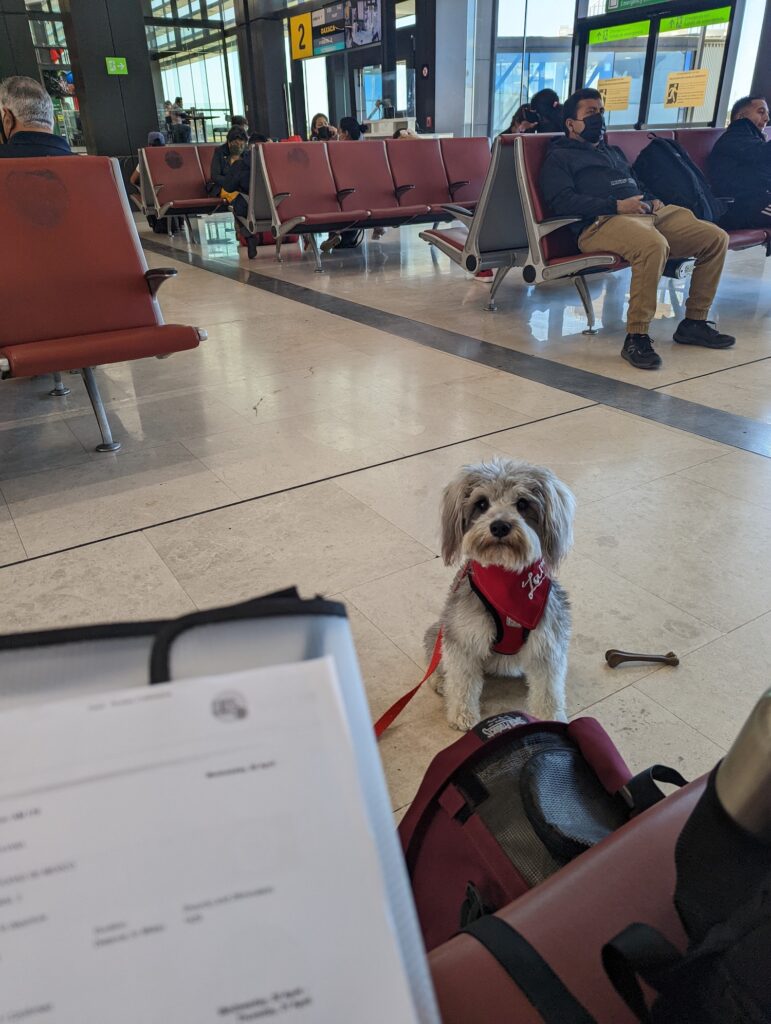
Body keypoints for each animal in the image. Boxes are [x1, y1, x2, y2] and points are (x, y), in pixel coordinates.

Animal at [423, 460, 573, 733]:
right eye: (482, 504)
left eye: (522, 504)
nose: (500, 526)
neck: (505, 577)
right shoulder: (463, 638)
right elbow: (461, 682)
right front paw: (462, 715)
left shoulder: (548, 643)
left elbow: (548, 689)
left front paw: (550, 717)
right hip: (438, 630)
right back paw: (440, 680)